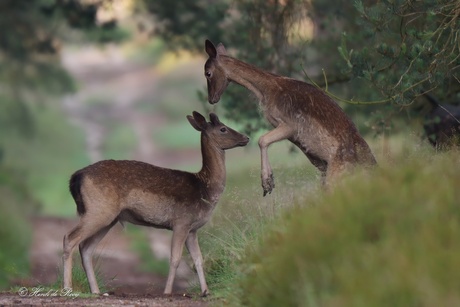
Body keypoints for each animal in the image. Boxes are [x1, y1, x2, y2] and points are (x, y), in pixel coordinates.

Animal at [63, 110, 250, 296]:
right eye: (223, 128)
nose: (246, 137)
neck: (204, 190)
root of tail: (76, 177)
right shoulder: (181, 222)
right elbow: (175, 258)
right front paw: (167, 292)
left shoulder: (192, 229)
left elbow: (198, 259)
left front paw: (205, 292)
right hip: (98, 210)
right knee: (70, 238)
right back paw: (67, 288)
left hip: (109, 218)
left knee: (86, 248)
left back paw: (95, 291)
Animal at [205, 39, 378, 196]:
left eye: (207, 73)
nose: (211, 99)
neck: (265, 91)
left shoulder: (290, 125)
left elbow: (262, 140)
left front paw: (267, 183)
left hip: (337, 176)